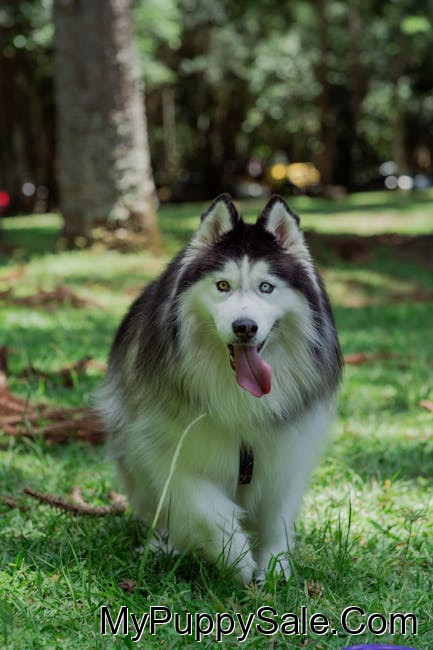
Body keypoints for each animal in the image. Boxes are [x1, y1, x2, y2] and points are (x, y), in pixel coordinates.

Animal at [97, 194, 342, 584]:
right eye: (223, 285)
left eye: (266, 287)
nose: (245, 327)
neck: (241, 397)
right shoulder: (165, 444)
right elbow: (204, 506)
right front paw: (235, 557)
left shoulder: (285, 451)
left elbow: (278, 516)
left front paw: (275, 568)